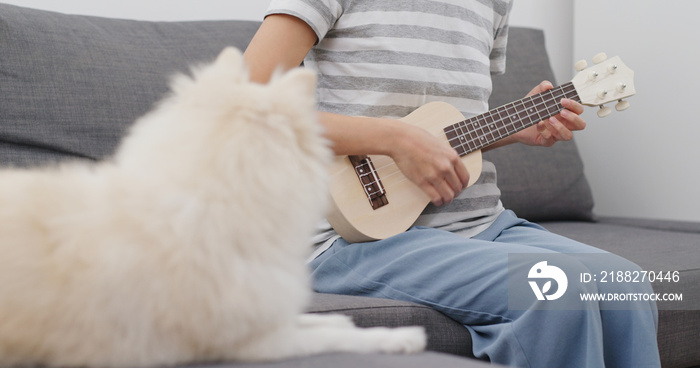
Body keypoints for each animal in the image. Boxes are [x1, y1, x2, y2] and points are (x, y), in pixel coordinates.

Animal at [0, 47, 426, 366]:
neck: (207, 195)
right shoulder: (250, 342)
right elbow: (330, 338)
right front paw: (397, 337)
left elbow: (318, 323)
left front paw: (344, 323)